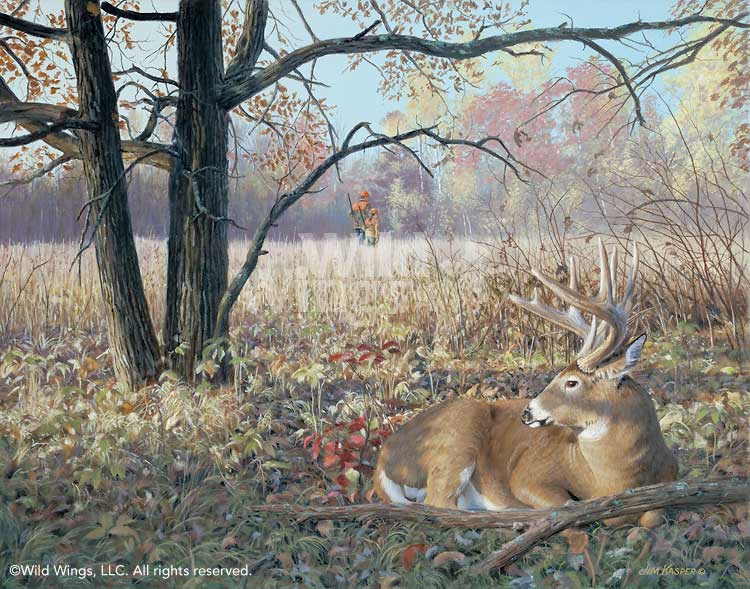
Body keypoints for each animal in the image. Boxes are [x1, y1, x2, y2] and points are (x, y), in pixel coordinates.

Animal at [374, 240, 677, 527]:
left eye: (572, 382)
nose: (527, 412)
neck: (617, 477)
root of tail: (383, 459)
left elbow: (654, 516)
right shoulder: (528, 474)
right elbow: (569, 505)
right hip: (458, 435)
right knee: (440, 502)